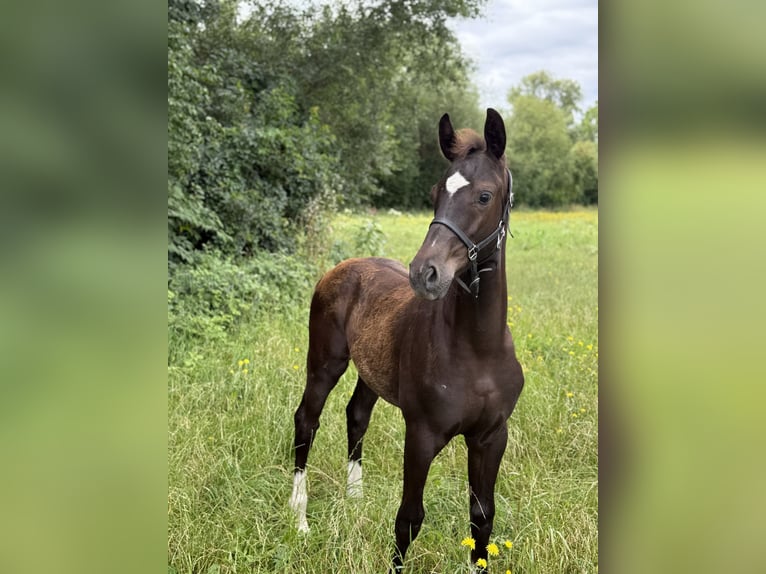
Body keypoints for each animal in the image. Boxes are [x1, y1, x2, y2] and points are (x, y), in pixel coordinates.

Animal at [289, 108, 525, 572]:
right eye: (435, 192)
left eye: (484, 196)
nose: (425, 273)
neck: (478, 349)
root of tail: (342, 266)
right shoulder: (421, 434)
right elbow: (409, 518)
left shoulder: (492, 436)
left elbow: (482, 517)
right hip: (325, 362)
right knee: (307, 419)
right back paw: (300, 517)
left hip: (370, 371)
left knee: (357, 414)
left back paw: (355, 499)